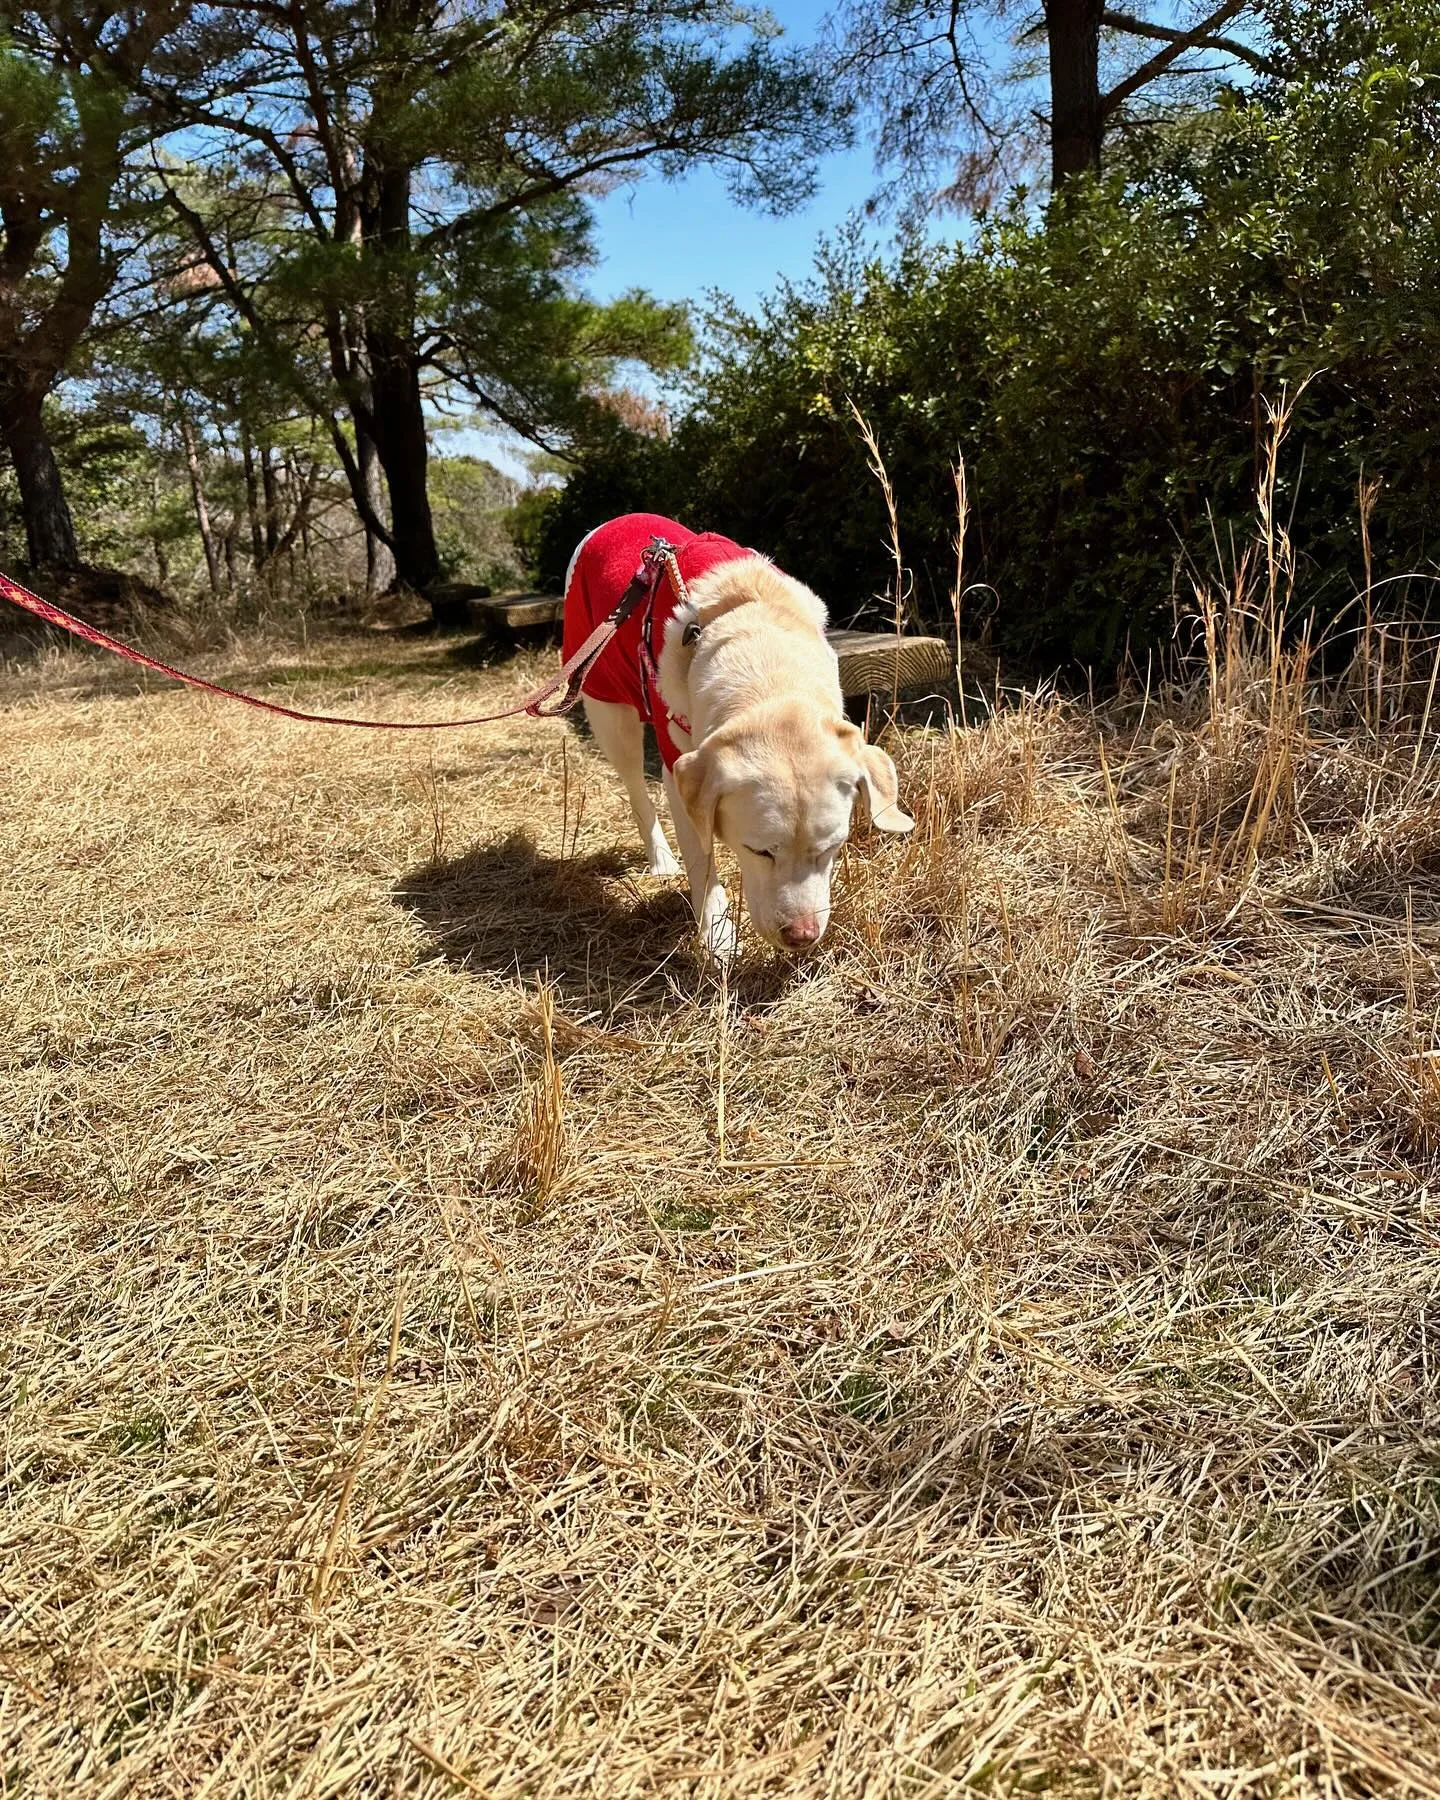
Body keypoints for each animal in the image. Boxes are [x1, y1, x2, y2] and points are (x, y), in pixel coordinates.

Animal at [561, 511, 910, 957]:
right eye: (758, 850)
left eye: (831, 848)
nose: (801, 936)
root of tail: (616, 520)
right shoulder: (678, 769)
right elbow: (701, 856)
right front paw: (718, 937)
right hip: (604, 700)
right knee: (636, 786)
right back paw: (661, 859)